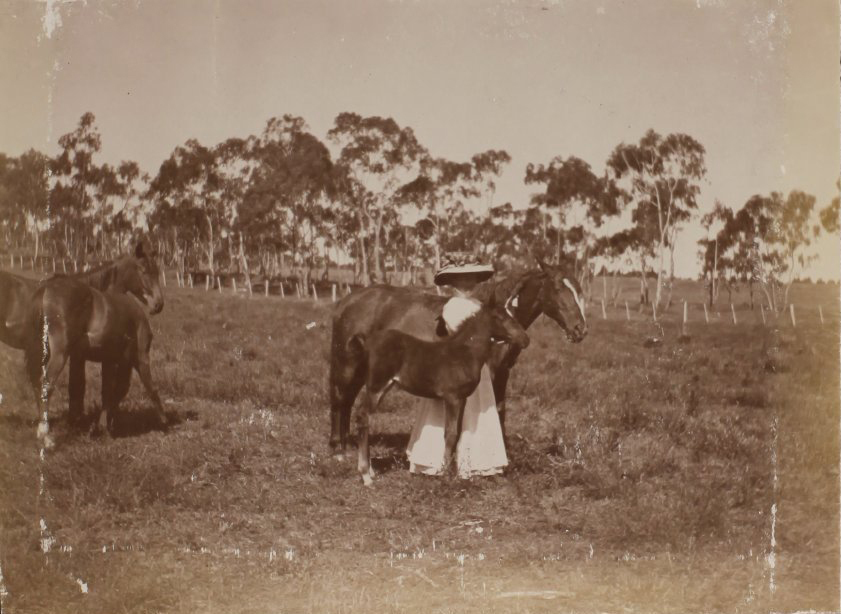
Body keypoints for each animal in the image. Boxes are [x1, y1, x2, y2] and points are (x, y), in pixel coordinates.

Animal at [23, 242, 166, 447]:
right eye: (144, 270)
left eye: (157, 271)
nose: (158, 304)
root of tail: (46, 289)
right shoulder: (110, 360)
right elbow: (109, 390)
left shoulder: (87, 358)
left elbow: (85, 388)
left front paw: (87, 424)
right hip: (59, 355)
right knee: (46, 384)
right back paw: (46, 436)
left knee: (38, 384)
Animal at [328, 258, 587, 456]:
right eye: (557, 289)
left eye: (578, 290)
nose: (580, 330)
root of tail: (346, 301)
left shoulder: (503, 373)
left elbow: (501, 409)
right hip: (348, 364)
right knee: (339, 398)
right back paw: (337, 448)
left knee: (348, 400)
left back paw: (348, 444)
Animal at [348, 299, 530, 485]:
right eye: (499, 317)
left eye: (511, 314)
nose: (525, 339)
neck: (465, 352)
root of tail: (368, 340)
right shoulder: (452, 398)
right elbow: (450, 433)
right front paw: (445, 475)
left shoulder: (462, 399)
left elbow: (458, 432)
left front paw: (456, 472)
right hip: (376, 387)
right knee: (362, 415)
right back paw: (366, 475)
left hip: (386, 386)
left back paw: (370, 471)